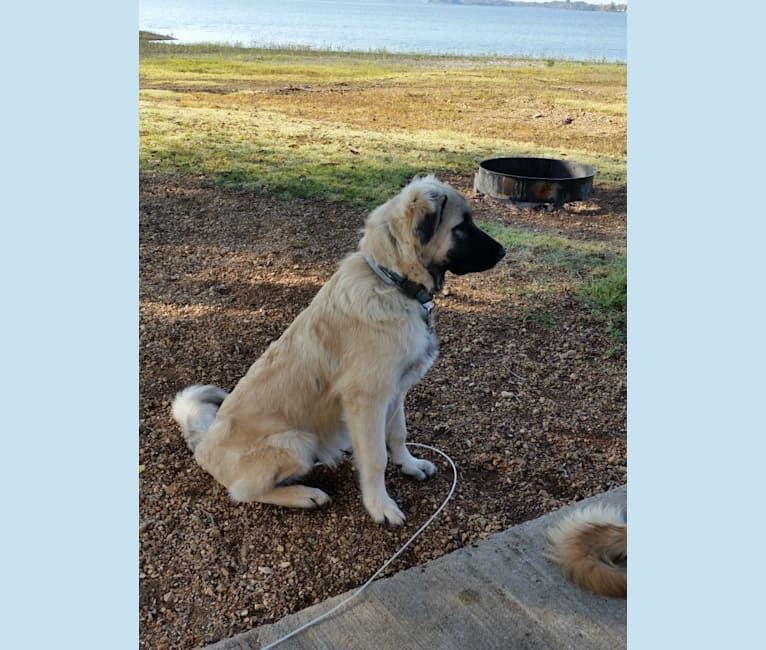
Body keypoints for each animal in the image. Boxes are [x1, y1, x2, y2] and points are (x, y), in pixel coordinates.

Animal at [171, 175, 508, 524]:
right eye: (462, 226)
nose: (503, 251)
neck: (392, 283)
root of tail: (204, 444)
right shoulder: (367, 401)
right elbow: (376, 458)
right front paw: (379, 506)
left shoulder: (395, 390)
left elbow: (397, 434)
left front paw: (410, 465)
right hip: (296, 442)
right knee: (244, 493)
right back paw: (304, 494)